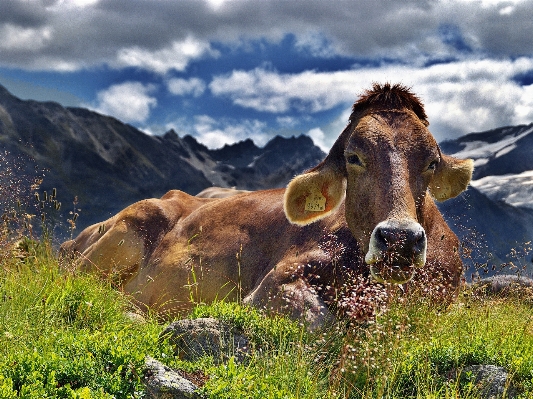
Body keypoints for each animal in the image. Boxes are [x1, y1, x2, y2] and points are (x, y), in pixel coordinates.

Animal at [60, 83, 472, 328]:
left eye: (431, 162)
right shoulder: (273, 285)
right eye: (354, 157)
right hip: (127, 229)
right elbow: (320, 322)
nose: (399, 239)